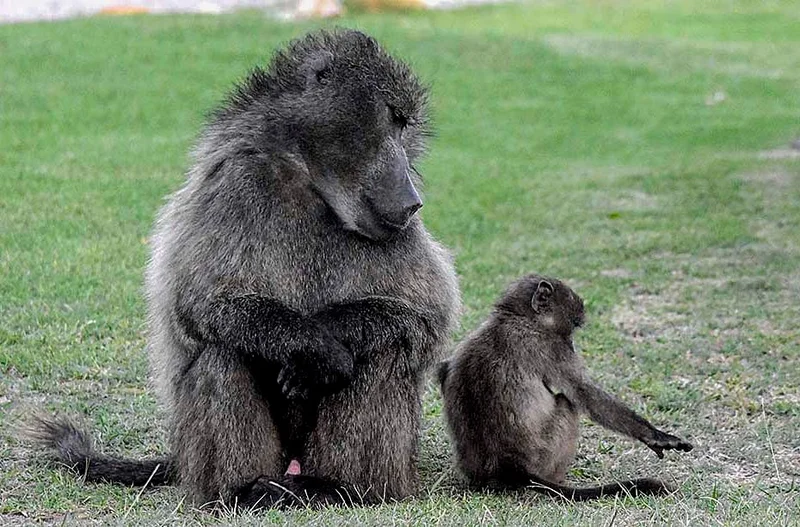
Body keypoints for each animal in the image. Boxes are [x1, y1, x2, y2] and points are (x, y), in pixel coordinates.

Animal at [29, 28, 460, 510]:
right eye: (393, 118)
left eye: (405, 126)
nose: (412, 200)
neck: (308, 178)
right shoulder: (236, 182)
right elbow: (200, 301)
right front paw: (316, 347)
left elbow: (425, 313)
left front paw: (331, 336)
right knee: (223, 348)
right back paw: (243, 488)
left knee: (384, 348)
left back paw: (339, 486)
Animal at [438, 274, 692, 501]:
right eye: (573, 327)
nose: (573, 345)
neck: (518, 317)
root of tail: (510, 467)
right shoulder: (554, 349)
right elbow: (585, 394)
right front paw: (655, 436)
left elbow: (444, 369)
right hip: (545, 455)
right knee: (567, 403)